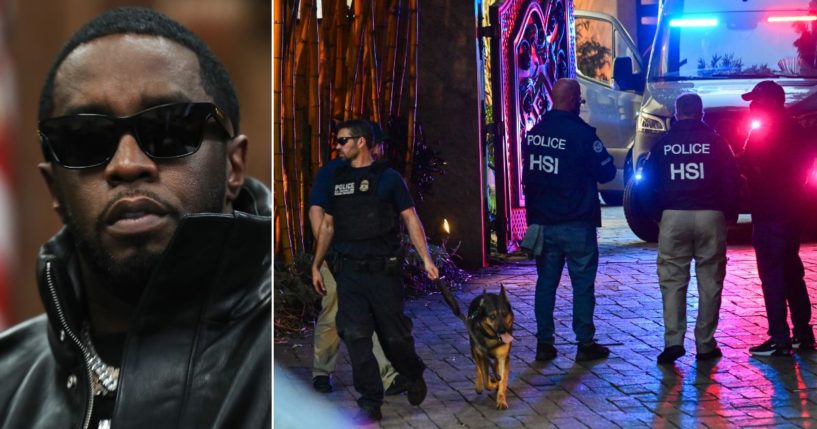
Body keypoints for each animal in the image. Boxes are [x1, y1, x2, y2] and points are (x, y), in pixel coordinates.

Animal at [436, 280, 512, 408]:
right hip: (474, 350)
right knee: (478, 368)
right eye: (492, 316)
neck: (490, 337)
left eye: (505, 314)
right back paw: (480, 385)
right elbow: (487, 380)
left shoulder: (503, 356)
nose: (503, 331)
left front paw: (501, 400)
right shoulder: (481, 354)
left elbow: (502, 378)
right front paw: (492, 383)